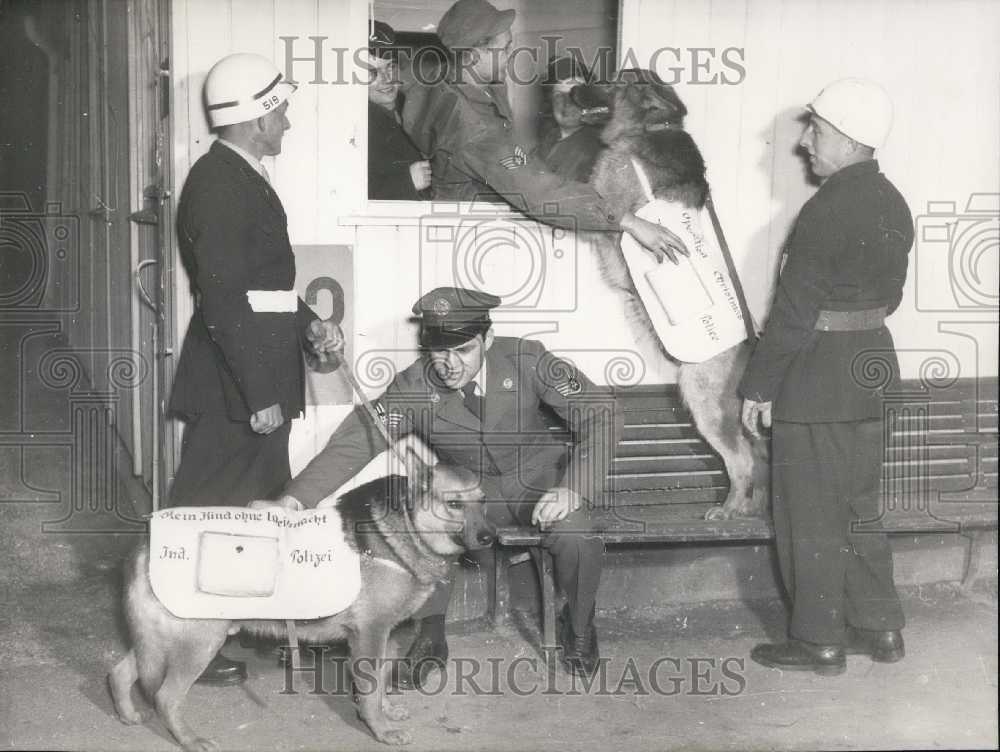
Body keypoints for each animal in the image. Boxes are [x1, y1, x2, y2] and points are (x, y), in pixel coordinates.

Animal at [110, 444, 496, 748]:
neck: (406, 528)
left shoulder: (384, 636)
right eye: (454, 504)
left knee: (120, 672)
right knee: (165, 697)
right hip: (199, 642)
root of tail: (147, 542)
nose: (490, 538)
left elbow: (381, 680)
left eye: (483, 502)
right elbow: (370, 689)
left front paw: (385, 712)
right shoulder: (371, 634)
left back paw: (128, 714)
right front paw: (380, 729)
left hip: (159, 642)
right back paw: (190, 740)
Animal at [576, 69, 768, 516]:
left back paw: (729, 508)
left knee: (741, 459)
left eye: (612, 81)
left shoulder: (603, 200)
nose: (570, 87)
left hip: (702, 400)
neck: (650, 125)